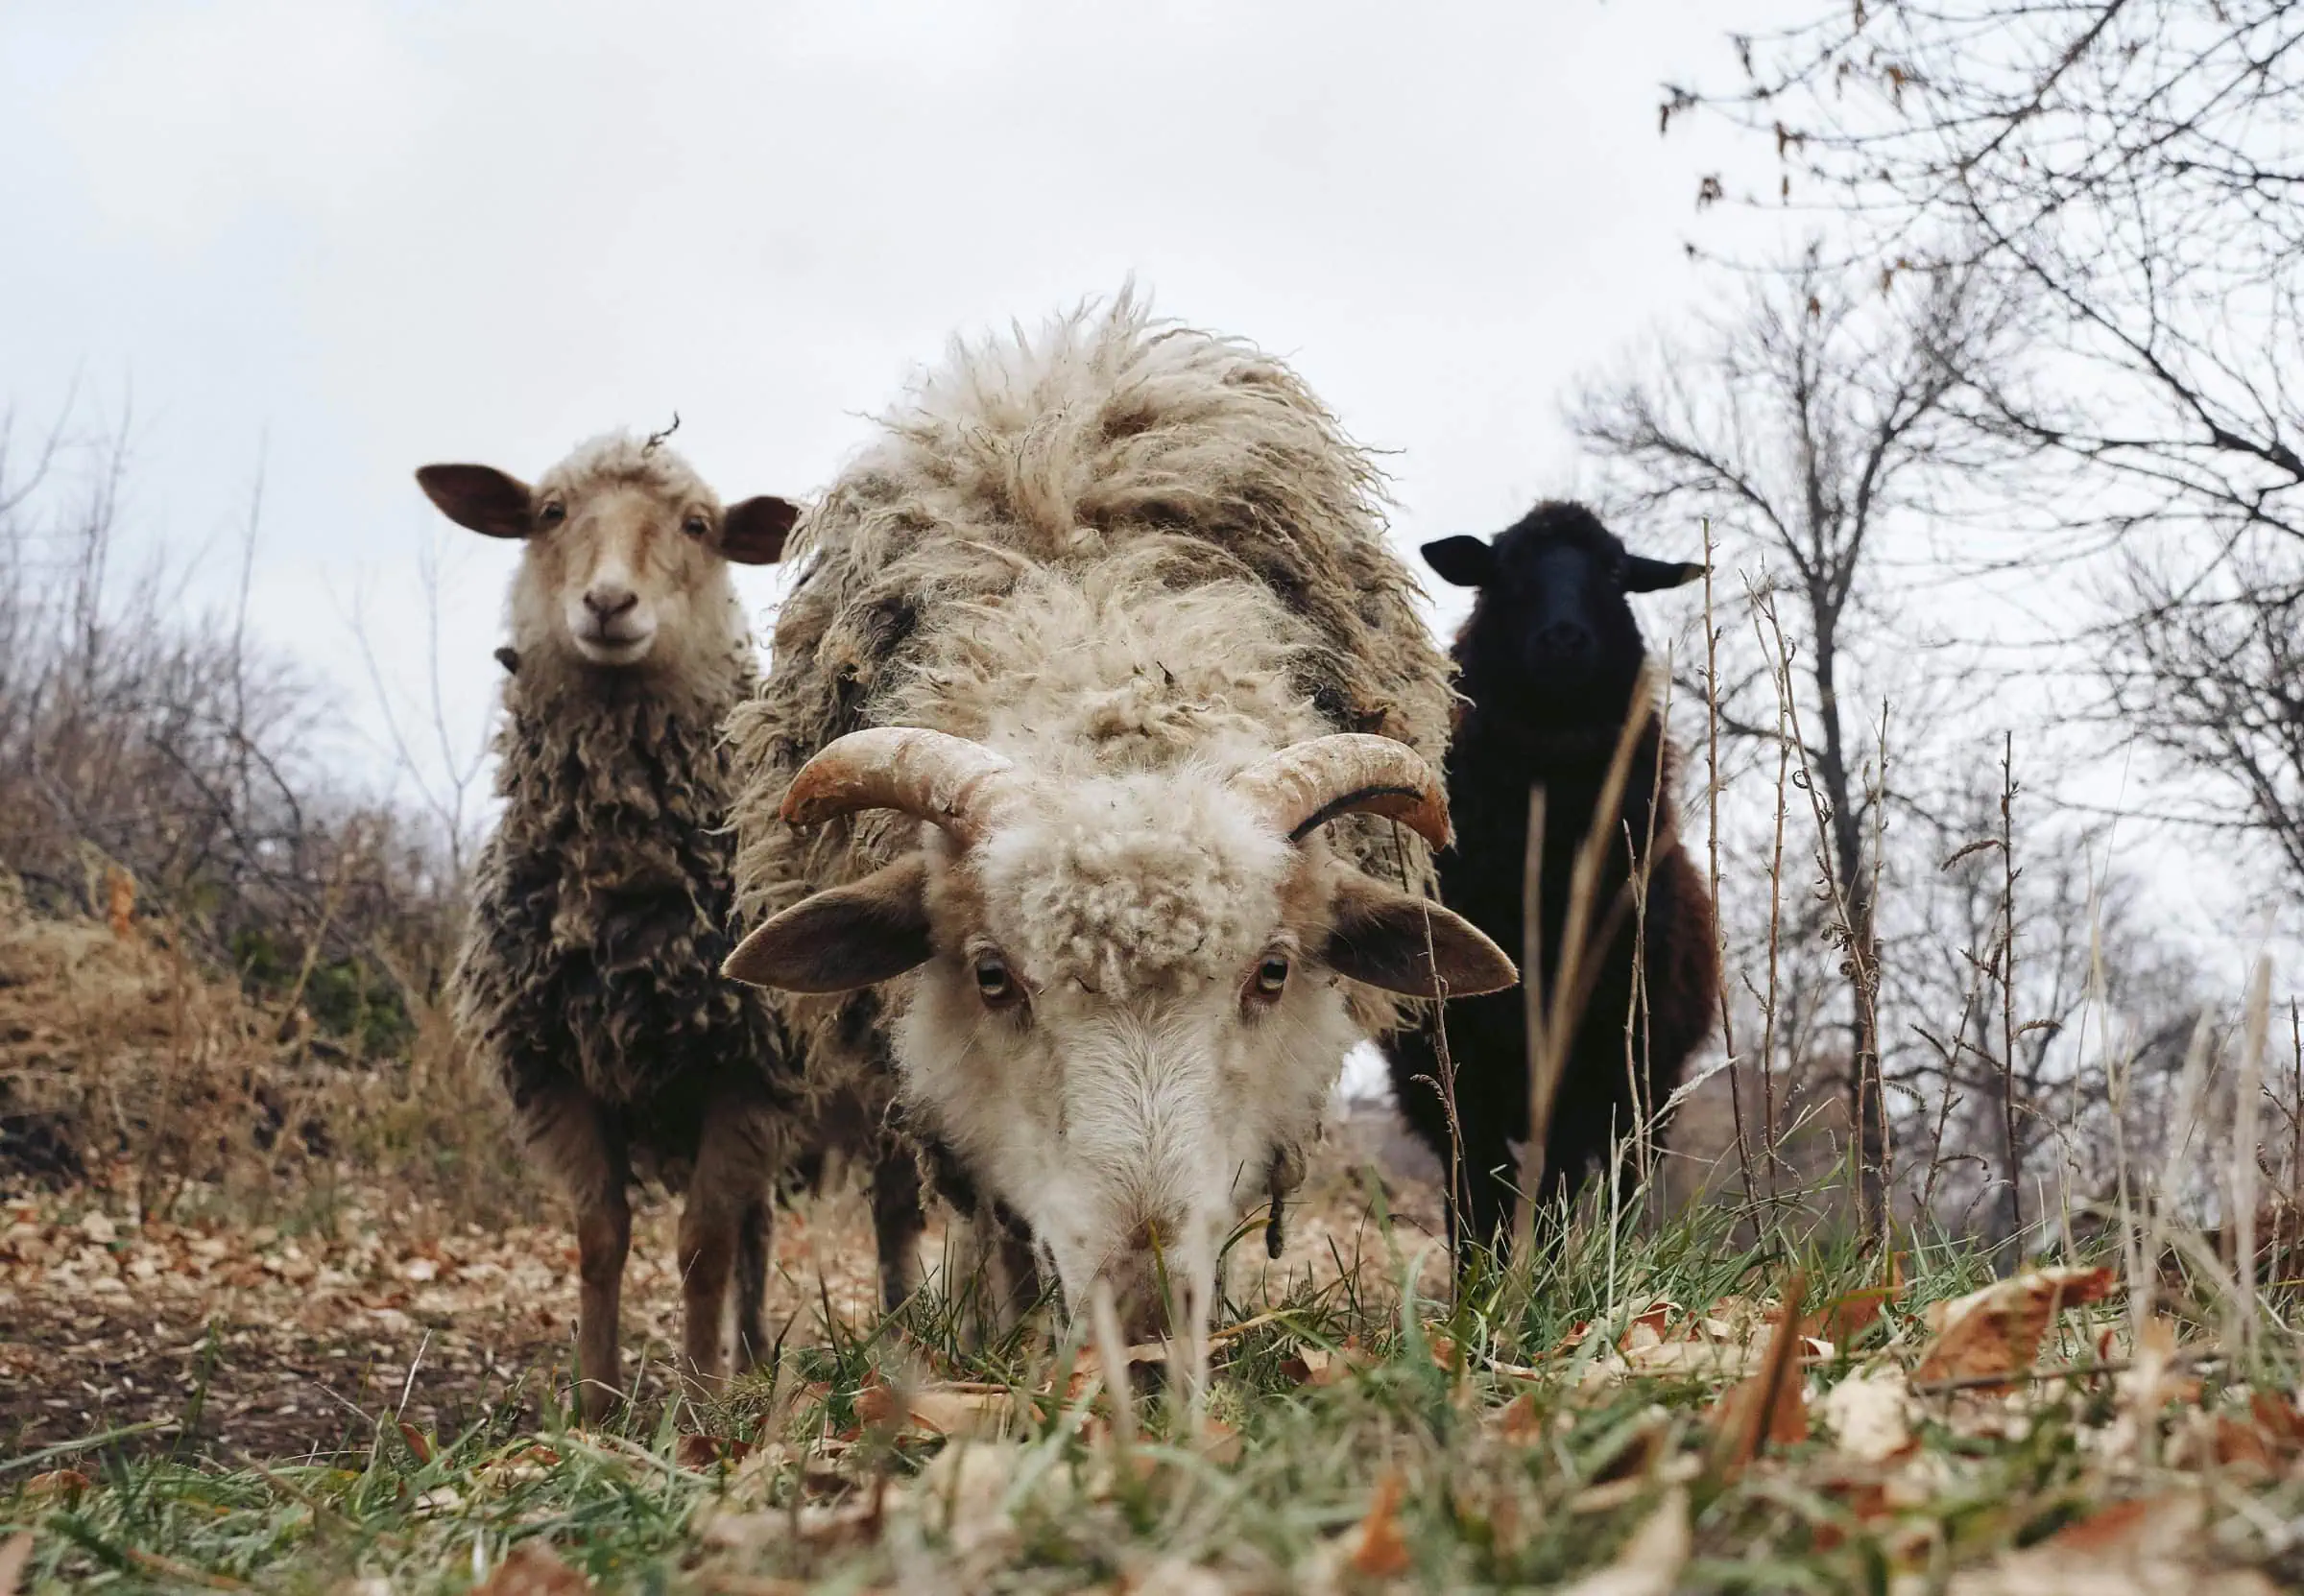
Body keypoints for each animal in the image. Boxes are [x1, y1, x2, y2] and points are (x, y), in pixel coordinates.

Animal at [417, 430, 810, 1409]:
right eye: (550, 513)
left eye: (699, 525)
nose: (606, 602)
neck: (625, 880)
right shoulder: (552, 1065)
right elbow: (600, 1238)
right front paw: (593, 1404)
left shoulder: (748, 1072)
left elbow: (702, 1246)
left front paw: (700, 1404)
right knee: (757, 1232)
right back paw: (752, 1358)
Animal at [1373, 497, 1723, 1262]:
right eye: (1504, 569)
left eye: (1617, 572)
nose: (1564, 637)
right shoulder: (1457, 1061)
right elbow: (1475, 1191)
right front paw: (1477, 1282)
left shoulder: (1593, 1054)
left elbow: (1559, 1187)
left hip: (1648, 1084)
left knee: (1621, 1183)